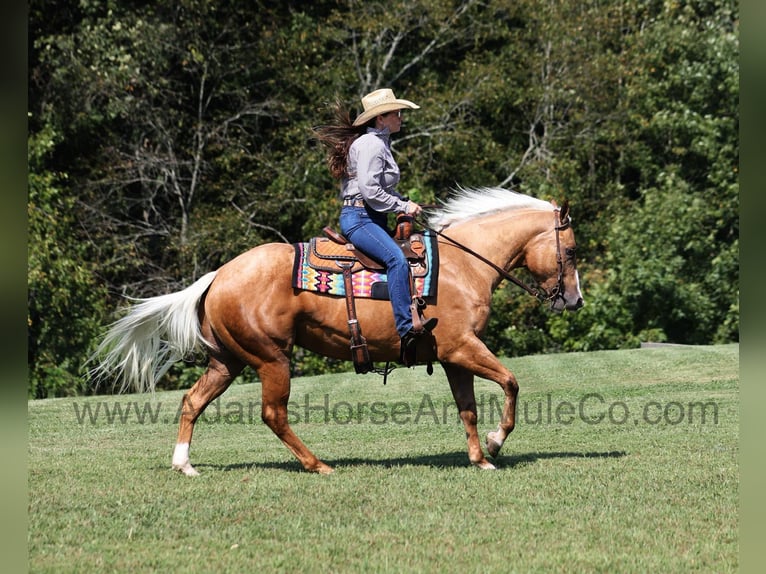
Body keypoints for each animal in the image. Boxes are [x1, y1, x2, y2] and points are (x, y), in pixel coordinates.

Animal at [91, 186, 584, 476]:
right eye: (573, 251)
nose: (575, 300)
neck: (464, 266)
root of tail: (218, 275)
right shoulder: (464, 347)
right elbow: (511, 384)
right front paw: (497, 446)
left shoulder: (452, 357)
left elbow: (468, 409)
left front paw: (481, 458)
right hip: (272, 359)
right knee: (273, 414)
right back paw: (318, 465)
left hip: (227, 361)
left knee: (193, 401)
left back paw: (184, 465)